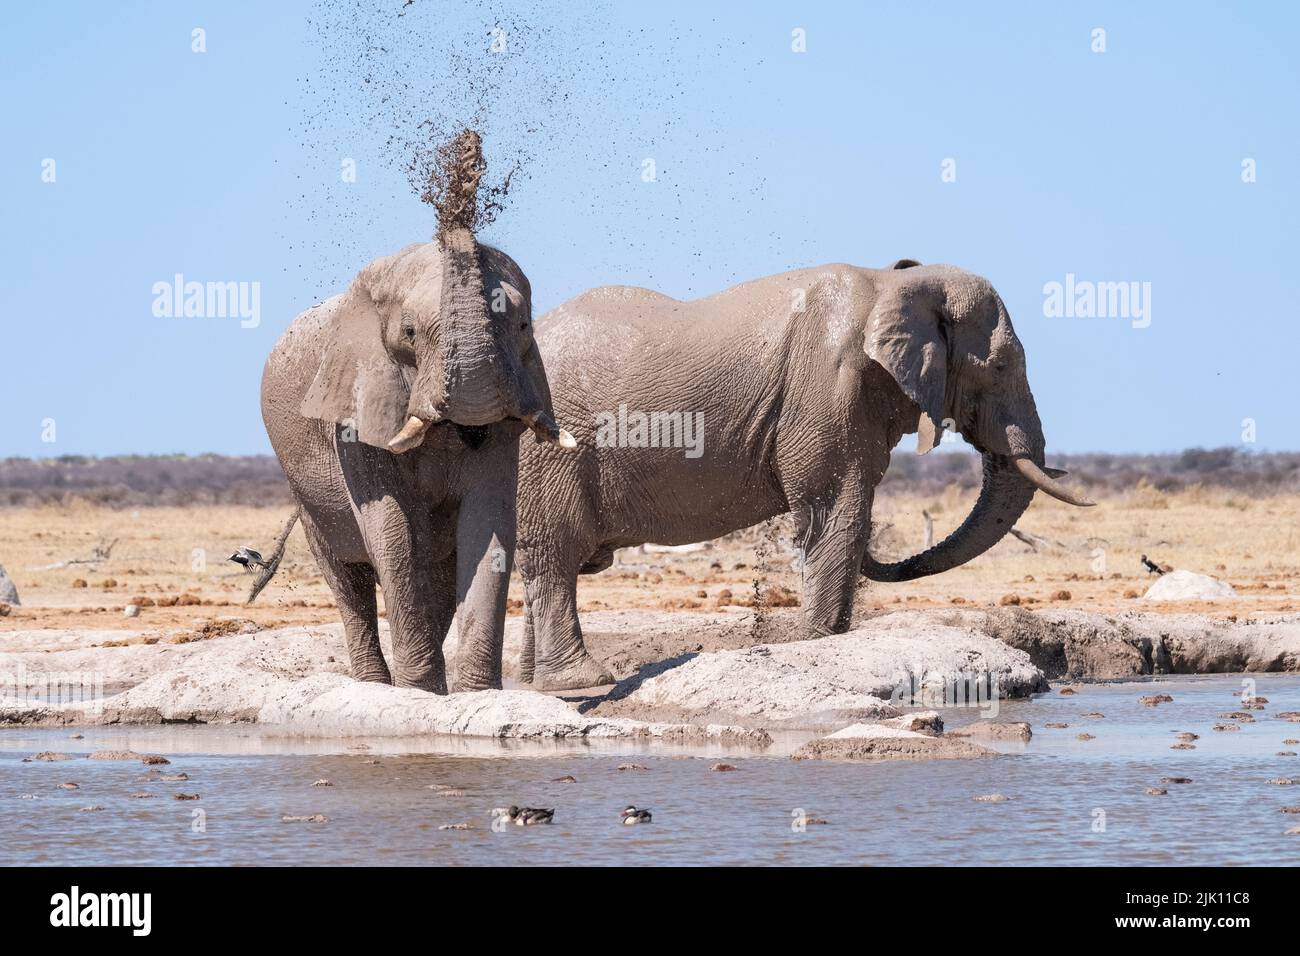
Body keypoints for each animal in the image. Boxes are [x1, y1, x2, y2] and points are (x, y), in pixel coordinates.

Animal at [261, 149, 572, 691]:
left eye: (523, 326)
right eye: (408, 333)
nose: (468, 161)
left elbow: (488, 525)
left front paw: (474, 694)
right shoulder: (356, 408)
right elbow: (391, 529)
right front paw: (419, 694)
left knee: (438, 576)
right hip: (303, 489)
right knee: (348, 579)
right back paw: (375, 685)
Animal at [512, 257, 1092, 691]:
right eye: (999, 366)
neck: (892, 282)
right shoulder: (828, 389)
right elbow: (836, 511)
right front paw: (820, 639)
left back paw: (530, 683)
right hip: (550, 452)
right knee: (556, 553)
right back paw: (581, 681)